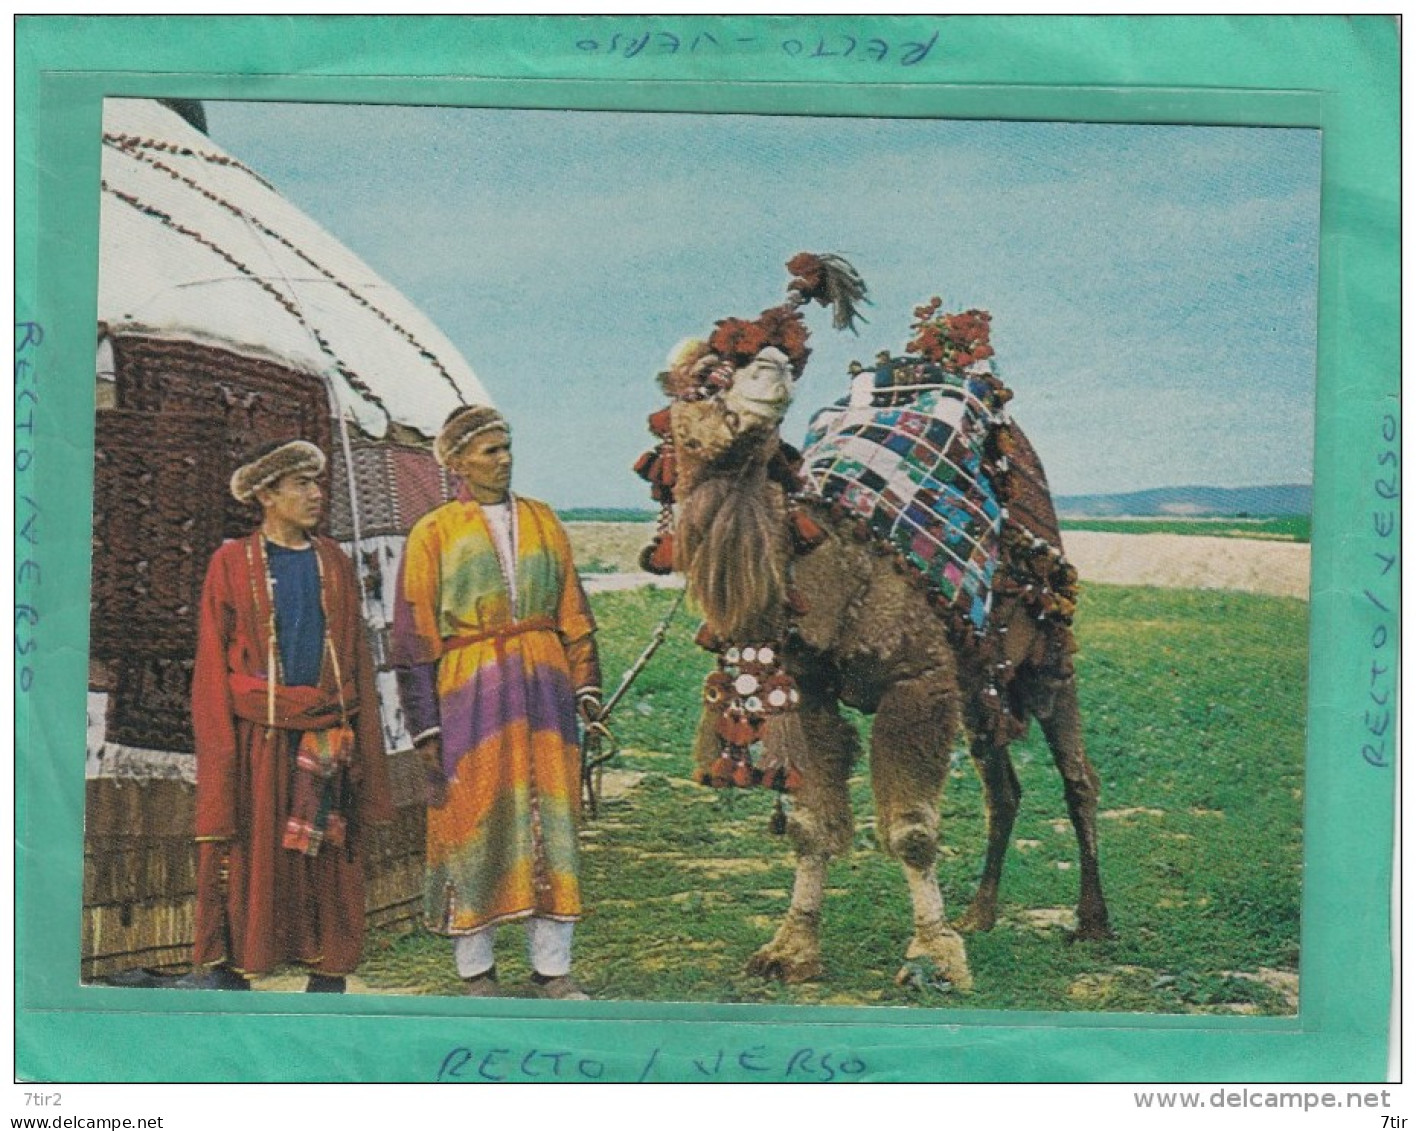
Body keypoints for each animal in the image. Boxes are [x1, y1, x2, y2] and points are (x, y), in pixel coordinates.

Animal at [637, 251, 1110, 985]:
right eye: (709, 375)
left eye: (783, 355)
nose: (769, 373)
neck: (836, 574)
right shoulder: (809, 687)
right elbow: (811, 825)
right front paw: (790, 947)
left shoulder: (917, 679)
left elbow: (912, 831)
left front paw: (933, 957)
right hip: (980, 675)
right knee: (1002, 786)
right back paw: (980, 913)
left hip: (1045, 651)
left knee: (1077, 778)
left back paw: (1092, 923)